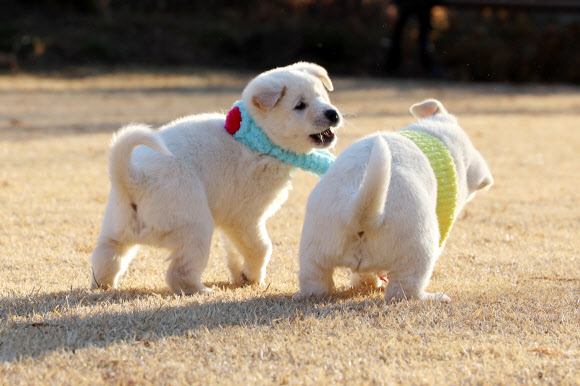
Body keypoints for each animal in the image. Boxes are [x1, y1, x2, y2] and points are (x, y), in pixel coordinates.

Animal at [92, 61, 340, 294]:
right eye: (300, 105)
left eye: (322, 97)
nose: (333, 114)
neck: (258, 138)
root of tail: (133, 177)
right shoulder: (245, 218)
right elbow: (261, 247)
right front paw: (253, 276)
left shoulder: (232, 223)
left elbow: (236, 251)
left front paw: (244, 277)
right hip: (196, 228)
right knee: (178, 273)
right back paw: (200, 290)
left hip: (117, 231)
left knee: (106, 259)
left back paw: (105, 285)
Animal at [296, 99, 492, 302]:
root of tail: (360, 213)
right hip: (419, 252)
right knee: (403, 291)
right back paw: (433, 297)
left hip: (314, 253)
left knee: (316, 282)